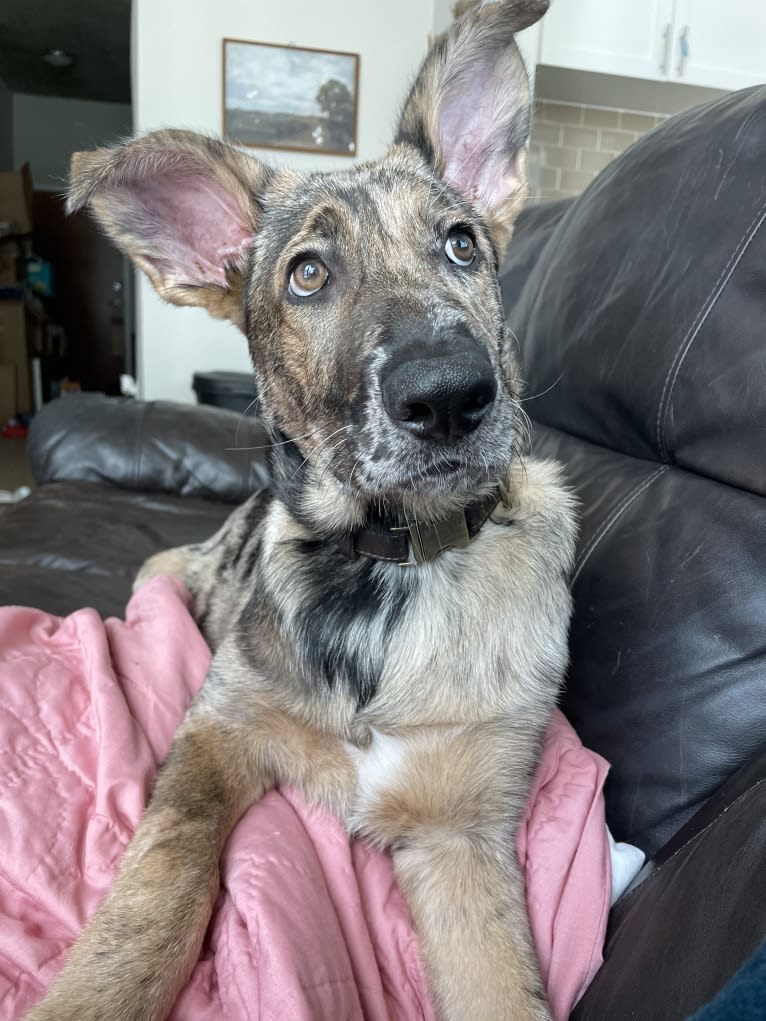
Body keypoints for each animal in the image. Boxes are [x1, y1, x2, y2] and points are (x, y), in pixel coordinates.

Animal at [24, 1, 580, 1021]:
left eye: (462, 244)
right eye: (308, 275)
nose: (451, 396)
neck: (392, 562)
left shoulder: (461, 830)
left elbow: (502, 987)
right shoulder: (215, 736)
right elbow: (157, 884)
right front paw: (95, 989)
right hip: (165, 572)